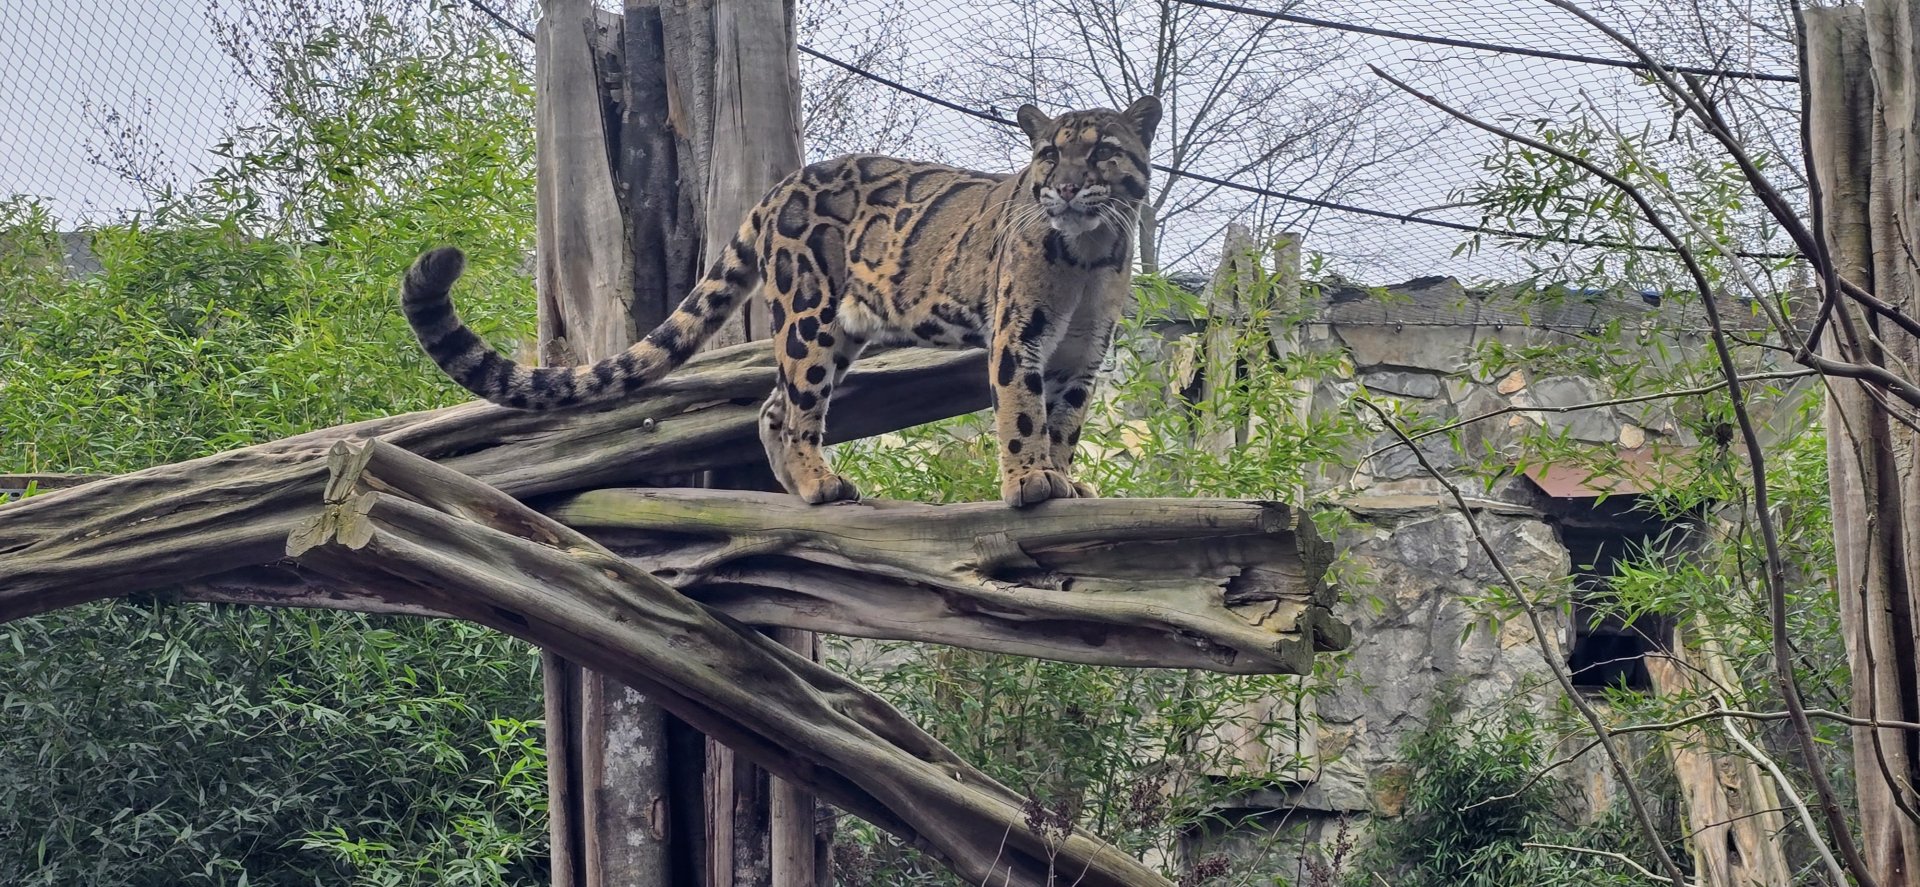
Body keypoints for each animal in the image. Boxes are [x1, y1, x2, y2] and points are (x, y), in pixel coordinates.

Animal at [400, 95, 1160, 508]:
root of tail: (781, 187)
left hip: (839, 328)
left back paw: (802, 487)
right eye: (1048, 154)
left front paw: (1064, 480)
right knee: (794, 412)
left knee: (773, 407)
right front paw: (1030, 483)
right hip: (810, 313)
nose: (1063, 188)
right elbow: (1022, 414)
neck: (1092, 248)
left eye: (1101, 152)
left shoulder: (1082, 352)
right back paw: (819, 484)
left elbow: (1065, 423)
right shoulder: (1018, 336)